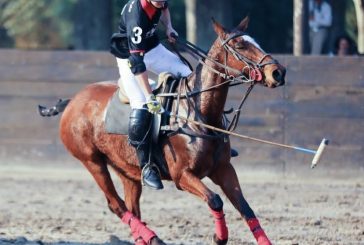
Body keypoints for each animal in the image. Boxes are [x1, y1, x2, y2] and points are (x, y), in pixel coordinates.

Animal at [49, 17, 286, 245]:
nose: (278, 72)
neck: (199, 112)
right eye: (240, 45)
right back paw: (154, 238)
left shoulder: (224, 169)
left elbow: (245, 208)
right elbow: (215, 200)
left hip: (126, 169)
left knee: (132, 206)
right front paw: (218, 237)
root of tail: (72, 101)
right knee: (116, 204)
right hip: (92, 161)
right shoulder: (181, 175)